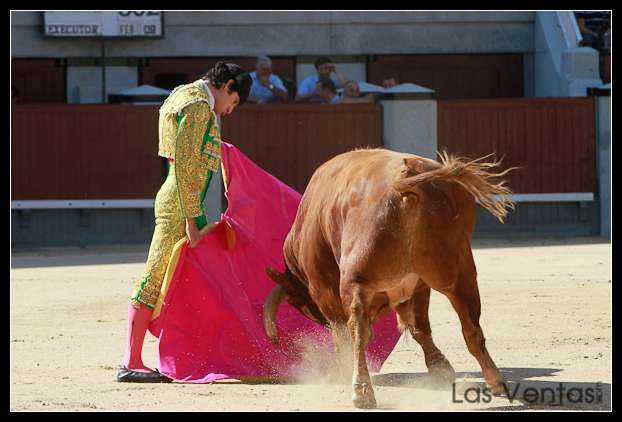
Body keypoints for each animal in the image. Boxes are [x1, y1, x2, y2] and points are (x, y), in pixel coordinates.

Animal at [263, 148, 516, 409]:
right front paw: (440, 369)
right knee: (471, 328)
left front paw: (341, 370)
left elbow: (342, 333)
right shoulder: (419, 284)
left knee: (357, 331)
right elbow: (419, 327)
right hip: (461, 270)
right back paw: (496, 381)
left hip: (356, 278)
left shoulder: (323, 289)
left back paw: (362, 390)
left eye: (301, 304)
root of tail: (405, 183)